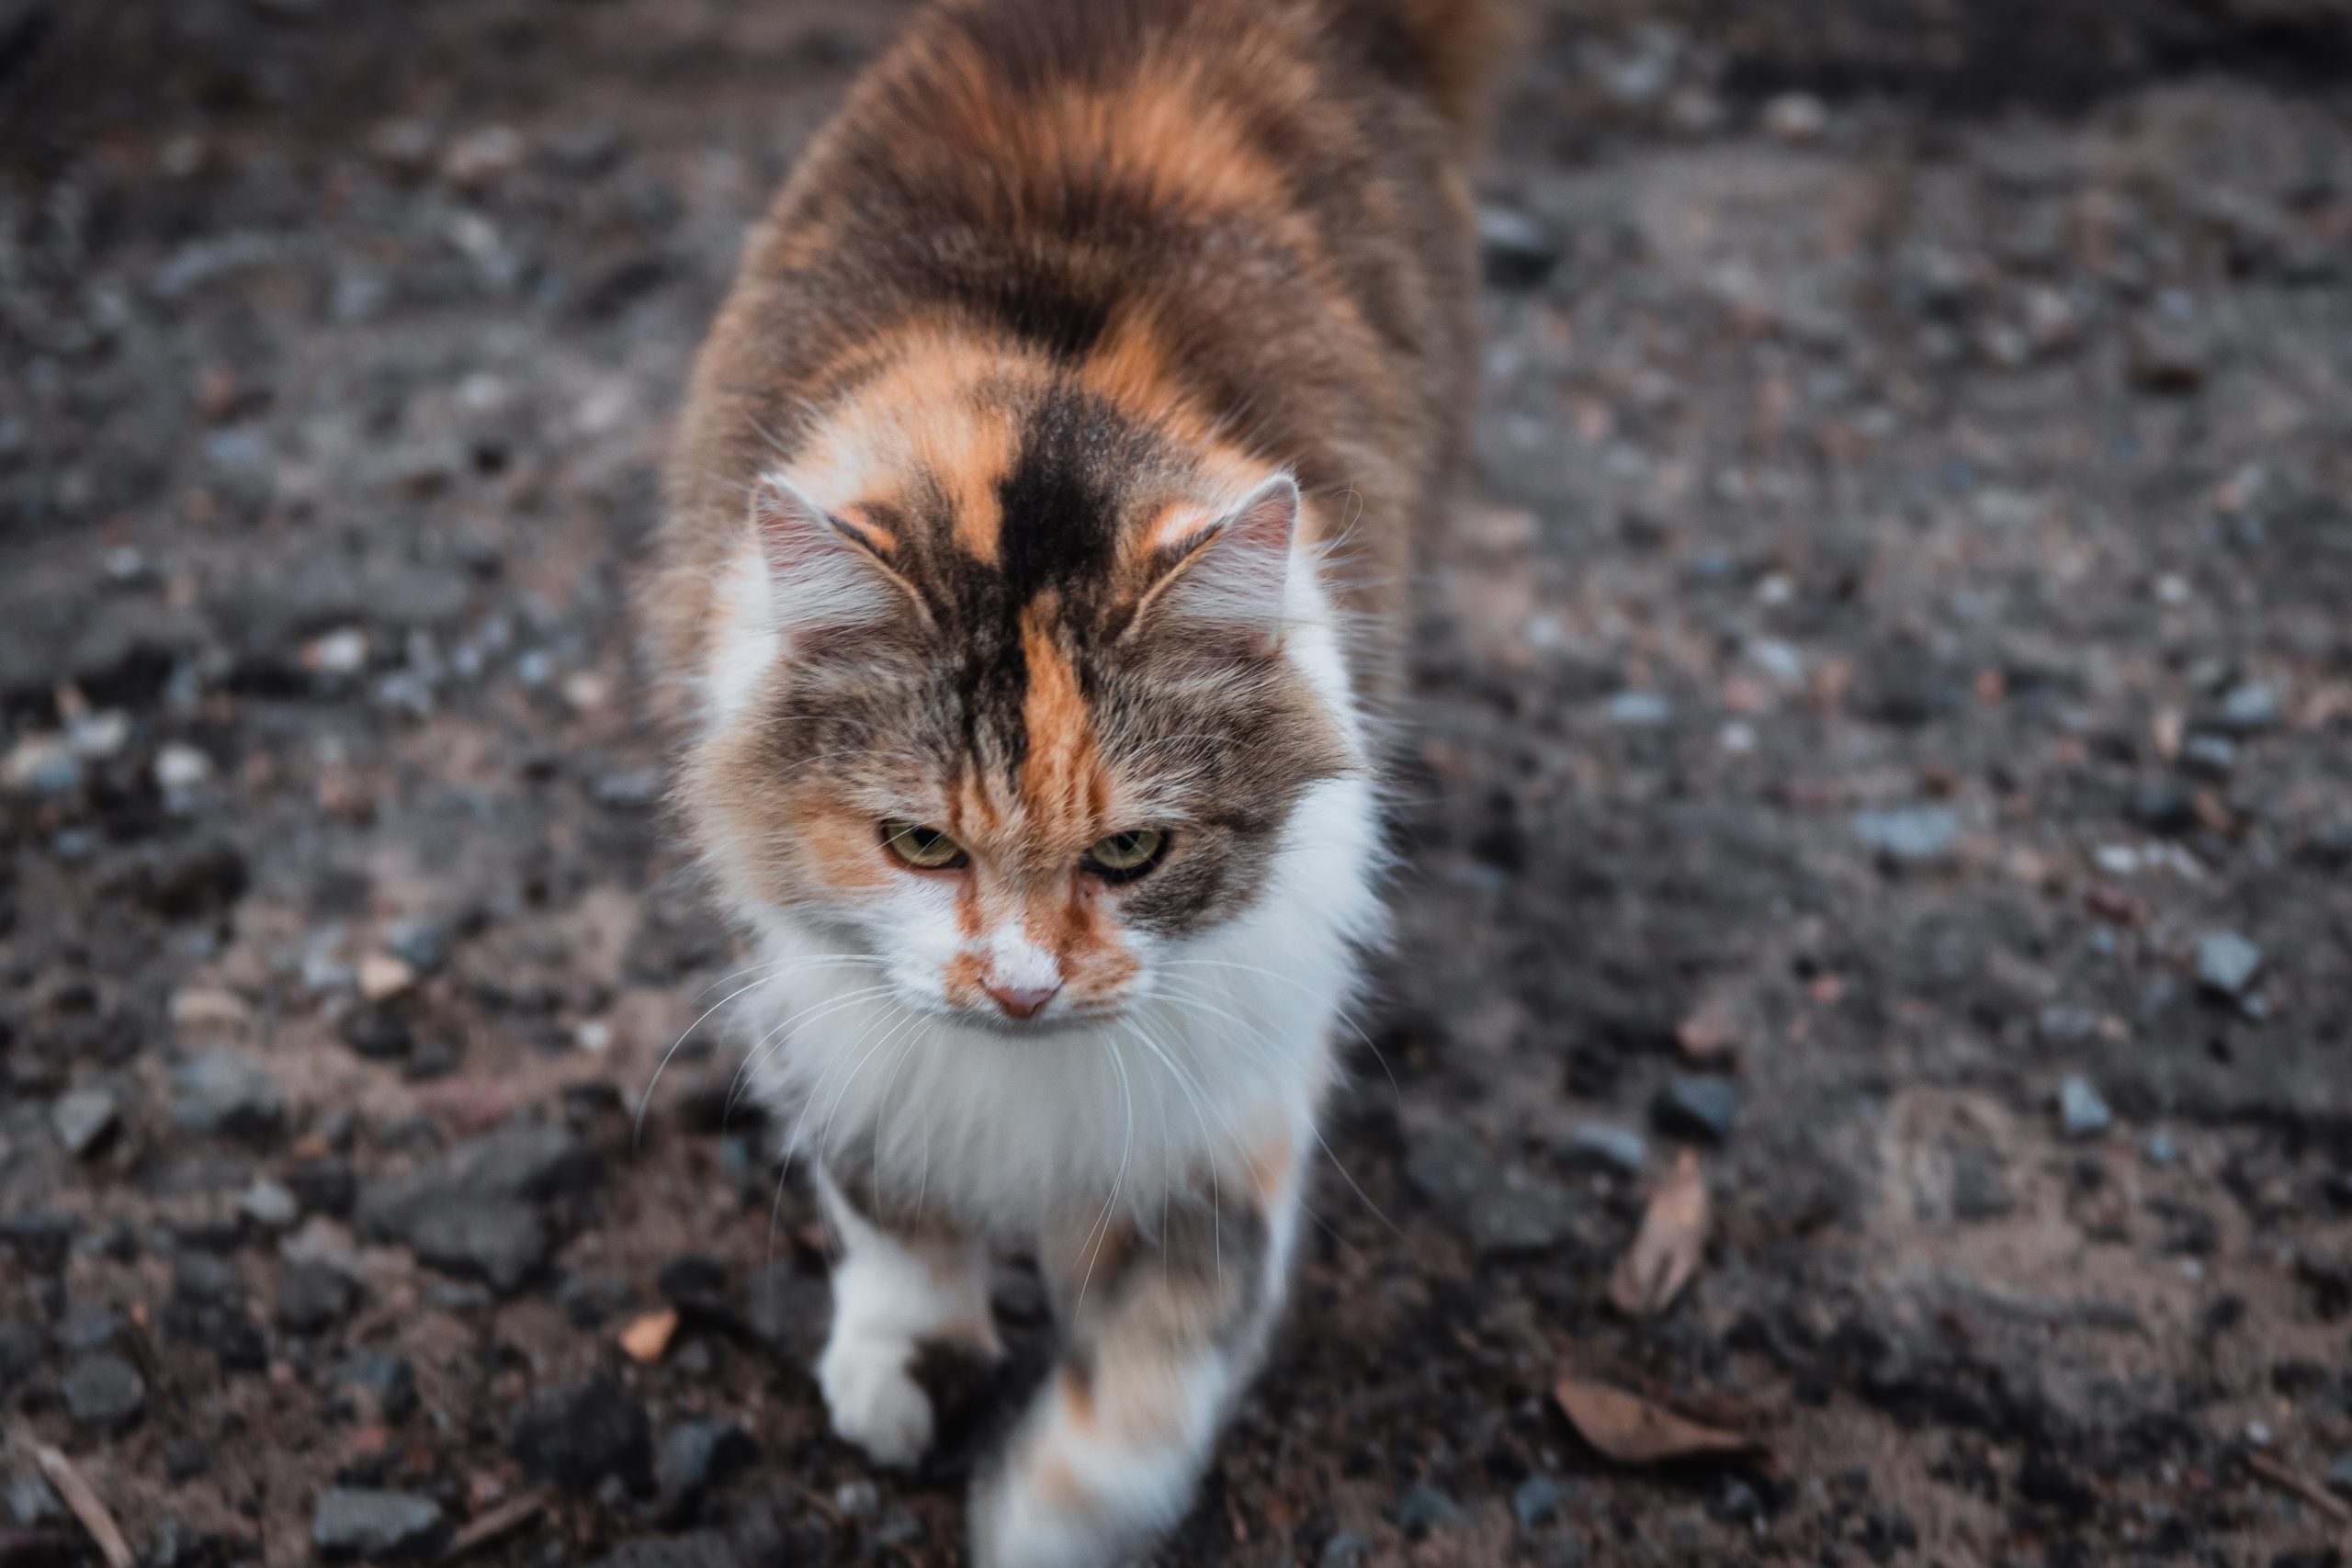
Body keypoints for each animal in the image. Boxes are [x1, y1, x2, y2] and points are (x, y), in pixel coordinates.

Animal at [635, 0, 1496, 1561]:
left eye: (1132, 855)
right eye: (919, 843)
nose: (1023, 989)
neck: (1035, 434)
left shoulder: (1227, 1115)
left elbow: (1155, 1366)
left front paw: (1037, 1509)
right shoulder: (813, 997)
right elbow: (893, 1205)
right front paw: (906, 1365)